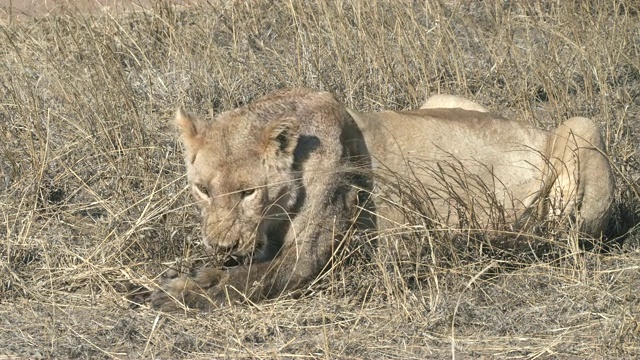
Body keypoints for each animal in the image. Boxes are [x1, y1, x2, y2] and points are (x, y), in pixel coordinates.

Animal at [150, 88, 616, 310]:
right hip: (439, 97)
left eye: (248, 192)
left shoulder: (305, 260)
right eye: (202, 189)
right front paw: (197, 271)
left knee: (560, 237)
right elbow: (238, 271)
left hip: (582, 127)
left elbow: (246, 282)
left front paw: (174, 293)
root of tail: (536, 129)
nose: (222, 245)